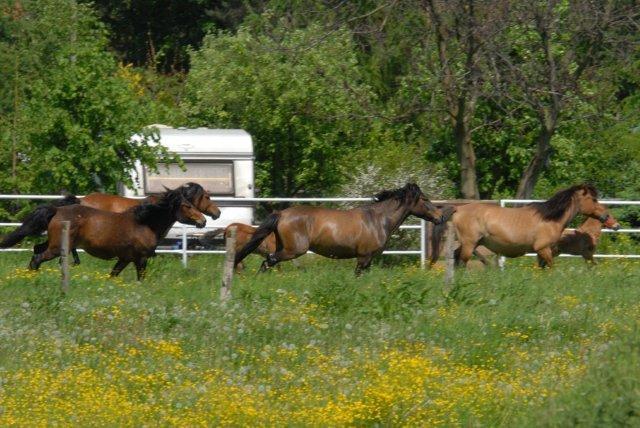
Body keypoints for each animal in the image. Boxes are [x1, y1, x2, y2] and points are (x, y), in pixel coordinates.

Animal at [2, 187, 206, 280]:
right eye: (187, 205)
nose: (203, 220)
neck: (145, 223)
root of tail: (56, 210)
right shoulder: (140, 259)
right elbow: (140, 279)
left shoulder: (125, 259)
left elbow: (113, 275)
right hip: (57, 248)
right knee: (37, 257)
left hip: (54, 244)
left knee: (36, 250)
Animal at [232, 182, 448, 276]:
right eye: (425, 199)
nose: (440, 217)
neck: (377, 220)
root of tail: (282, 214)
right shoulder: (364, 257)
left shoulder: (368, 259)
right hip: (294, 250)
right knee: (268, 261)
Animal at [430, 183, 616, 268]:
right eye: (593, 199)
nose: (606, 216)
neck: (550, 218)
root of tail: (458, 209)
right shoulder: (544, 249)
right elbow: (551, 268)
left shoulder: (542, 252)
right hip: (469, 244)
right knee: (461, 262)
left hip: (473, 244)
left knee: (456, 258)